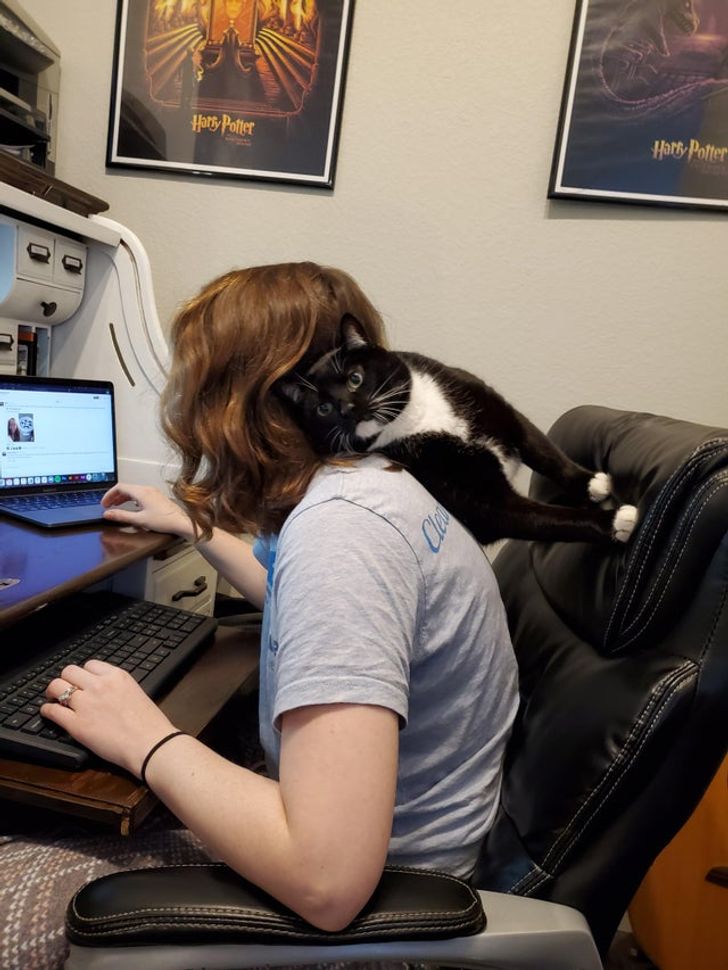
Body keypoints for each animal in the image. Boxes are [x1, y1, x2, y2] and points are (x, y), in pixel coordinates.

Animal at [279, 316, 638, 546]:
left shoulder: (500, 411)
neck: (413, 417)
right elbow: (548, 518)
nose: (346, 409)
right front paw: (614, 522)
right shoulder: (481, 501)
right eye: (322, 409)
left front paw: (590, 483)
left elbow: (544, 451)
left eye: (355, 378)